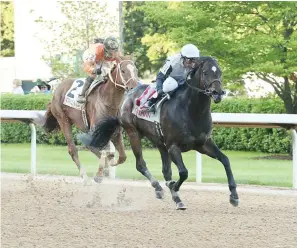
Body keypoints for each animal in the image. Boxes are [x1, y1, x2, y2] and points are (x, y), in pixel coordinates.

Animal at [42, 56, 139, 184]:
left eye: (136, 70)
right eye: (123, 71)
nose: (135, 87)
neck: (108, 101)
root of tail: (56, 90)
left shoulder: (115, 133)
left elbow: (122, 156)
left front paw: (108, 166)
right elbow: (103, 151)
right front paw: (99, 174)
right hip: (63, 120)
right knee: (73, 149)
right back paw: (85, 176)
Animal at [79, 56, 238, 209]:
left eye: (220, 72)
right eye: (205, 72)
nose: (218, 93)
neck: (191, 111)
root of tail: (128, 96)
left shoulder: (203, 144)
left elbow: (225, 160)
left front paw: (234, 195)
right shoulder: (173, 146)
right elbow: (183, 172)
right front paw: (173, 186)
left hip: (160, 142)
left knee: (165, 170)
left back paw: (176, 198)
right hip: (133, 133)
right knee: (141, 165)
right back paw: (159, 188)